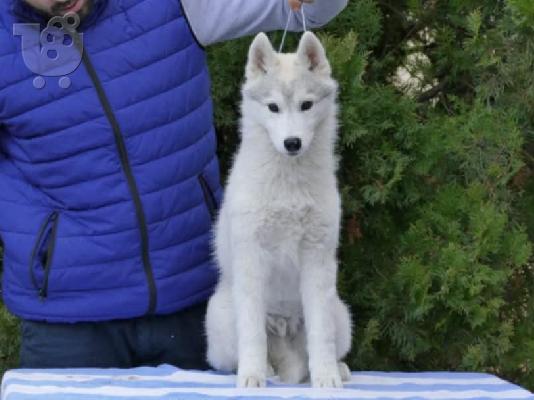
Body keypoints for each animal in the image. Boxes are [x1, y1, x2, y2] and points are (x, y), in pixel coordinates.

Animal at [205, 32, 352, 390]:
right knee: (238, 356)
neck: (289, 184)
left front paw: (326, 378)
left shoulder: (317, 258)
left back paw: (335, 369)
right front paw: (252, 377)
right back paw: (266, 370)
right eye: (273, 107)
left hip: (341, 314)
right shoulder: (251, 256)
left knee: (315, 352)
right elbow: (253, 336)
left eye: (306, 105)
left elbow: (320, 335)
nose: (292, 143)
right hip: (221, 316)